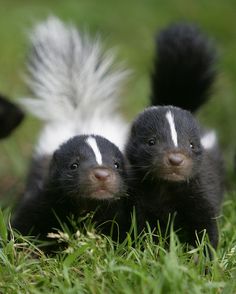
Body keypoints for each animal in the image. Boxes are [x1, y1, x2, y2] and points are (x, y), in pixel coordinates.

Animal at [12, 16, 131, 243]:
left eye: (116, 164)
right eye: (73, 165)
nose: (102, 174)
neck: (87, 205)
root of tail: (80, 113)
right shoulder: (45, 195)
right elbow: (25, 222)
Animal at [126, 23, 224, 249]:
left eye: (191, 145)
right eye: (151, 142)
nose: (175, 159)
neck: (167, 187)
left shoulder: (201, 188)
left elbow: (206, 225)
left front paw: (205, 255)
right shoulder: (140, 195)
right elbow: (142, 226)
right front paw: (146, 248)